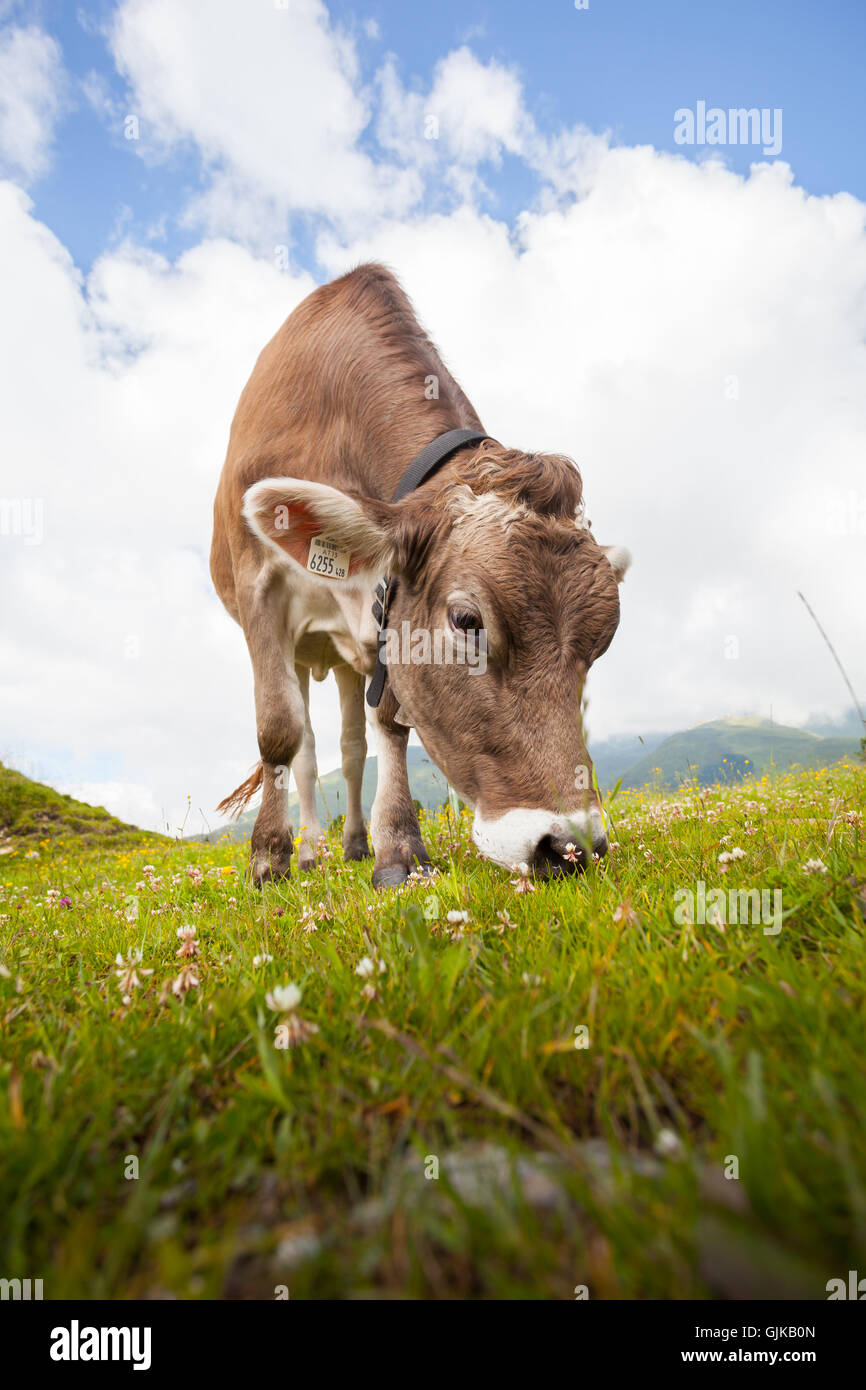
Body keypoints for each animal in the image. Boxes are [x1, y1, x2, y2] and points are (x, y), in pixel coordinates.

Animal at [210, 263, 630, 888]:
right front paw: (268, 859)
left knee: (350, 746)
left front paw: (397, 849)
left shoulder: (387, 616)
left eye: (602, 644)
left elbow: (389, 723)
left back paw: (353, 843)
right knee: (306, 747)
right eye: (466, 620)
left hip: (342, 655)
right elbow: (278, 730)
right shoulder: (259, 586)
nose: (569, 846)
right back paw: (309, 850)